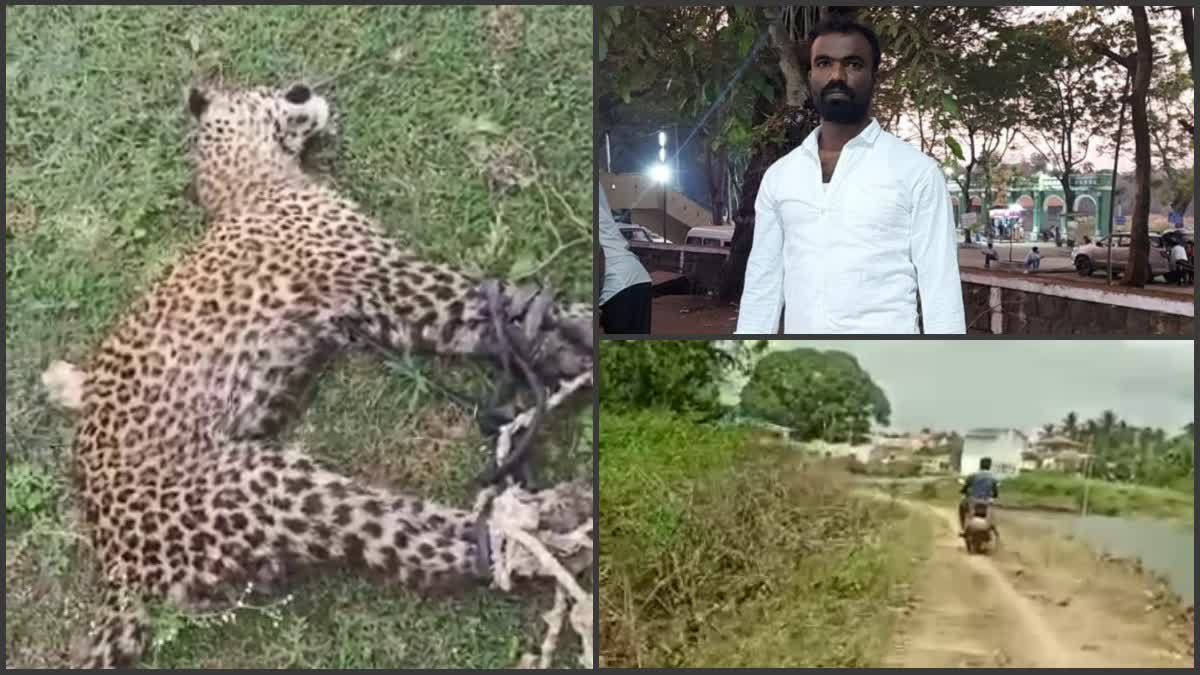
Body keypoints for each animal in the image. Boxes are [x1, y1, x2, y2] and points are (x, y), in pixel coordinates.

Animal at [60, 81, 595, 662]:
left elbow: (501, 322)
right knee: (425, 542)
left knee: (412, 532)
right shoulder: (396, 281)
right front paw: (584, 329)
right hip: (267, 487)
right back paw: (549, 525)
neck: (248, 177)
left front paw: (562, 350)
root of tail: (115, 564)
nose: (303, 87)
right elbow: (499, 298)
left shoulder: (390, 313)